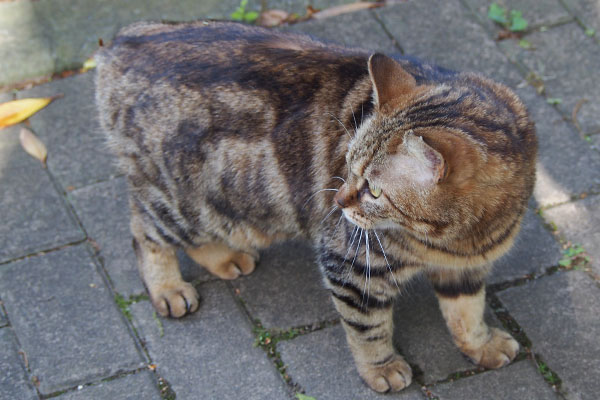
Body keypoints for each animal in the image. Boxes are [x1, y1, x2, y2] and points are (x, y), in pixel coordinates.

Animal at [96, 20, 536, 392]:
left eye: (374, 191)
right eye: (349, 165)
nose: (338, 200)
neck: (459, 240)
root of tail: (124, 40)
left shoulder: (467, 269)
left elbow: (467, 313)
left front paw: (480, 344)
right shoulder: (353, 266)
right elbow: (369, 329)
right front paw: (381, 368)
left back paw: (224, 258)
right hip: (193, 205)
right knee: (143, 229)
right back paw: (169, 287)